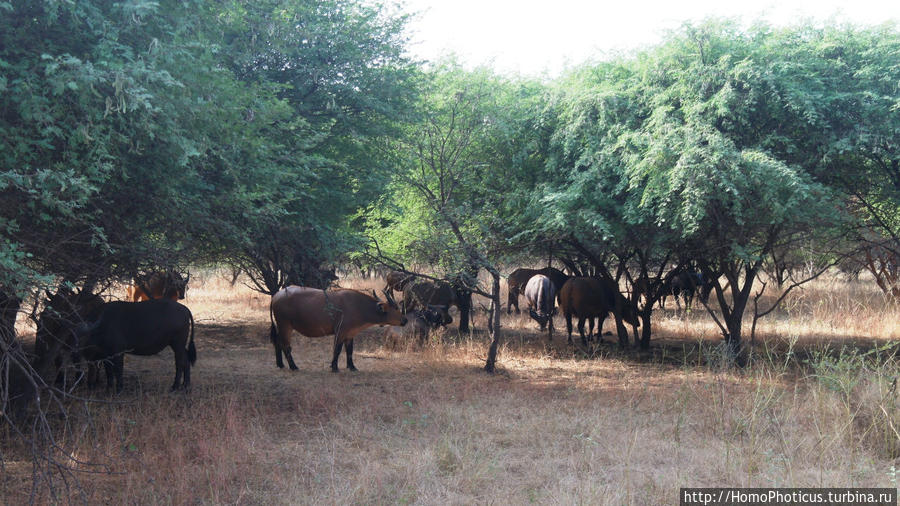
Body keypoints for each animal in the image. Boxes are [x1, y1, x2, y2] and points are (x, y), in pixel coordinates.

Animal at [268, 286, 408, 374]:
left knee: (278, 343)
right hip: (285, 325)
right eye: (396, 308)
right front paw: (334, 367)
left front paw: (352, 367)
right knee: (286, 346)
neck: (358, 306)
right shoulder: (340, 332)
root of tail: (275, 296)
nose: (405, 320)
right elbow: (337, 350)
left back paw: (280, 364)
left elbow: (350, 351)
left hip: (281, 326)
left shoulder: (350, 335)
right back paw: (293, 366)